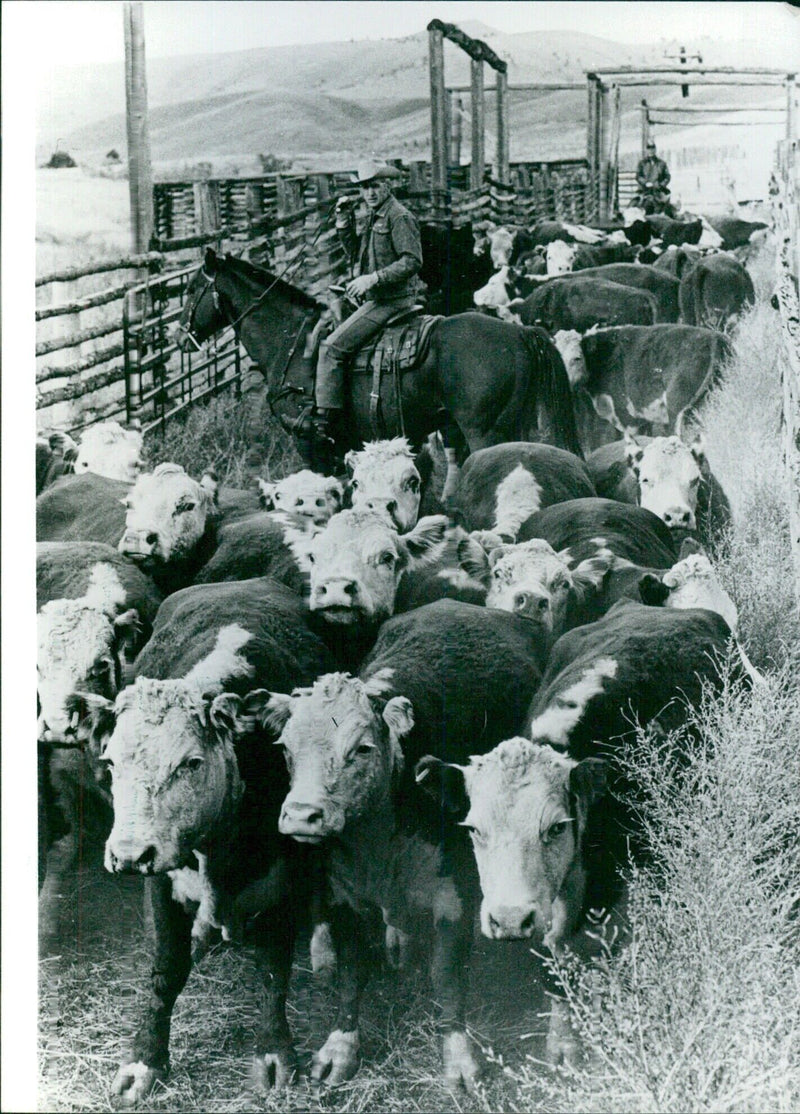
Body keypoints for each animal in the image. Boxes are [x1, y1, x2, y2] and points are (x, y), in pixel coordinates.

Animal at [76, 579, 336, 1100]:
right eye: (111, 762)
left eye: (191, 763)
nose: (127, 854)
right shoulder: (161, 880)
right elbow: (165, 971)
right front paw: (144, 1061)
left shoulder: (282, 882)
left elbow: (273, 969)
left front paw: (273, 1053)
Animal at [176, 250, 583, 485]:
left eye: (192, 288)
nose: (180, 336)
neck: (293, 342)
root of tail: (519, 333)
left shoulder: (309, 442)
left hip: (486, 432)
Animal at [267, 601, 545, 1087]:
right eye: (286, 748)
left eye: (361, 748)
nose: (302, 814)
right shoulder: (345, 895)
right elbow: (352, 971)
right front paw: (340, 1046)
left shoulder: (454, 893)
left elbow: (447, 975)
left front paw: (458, 1056)